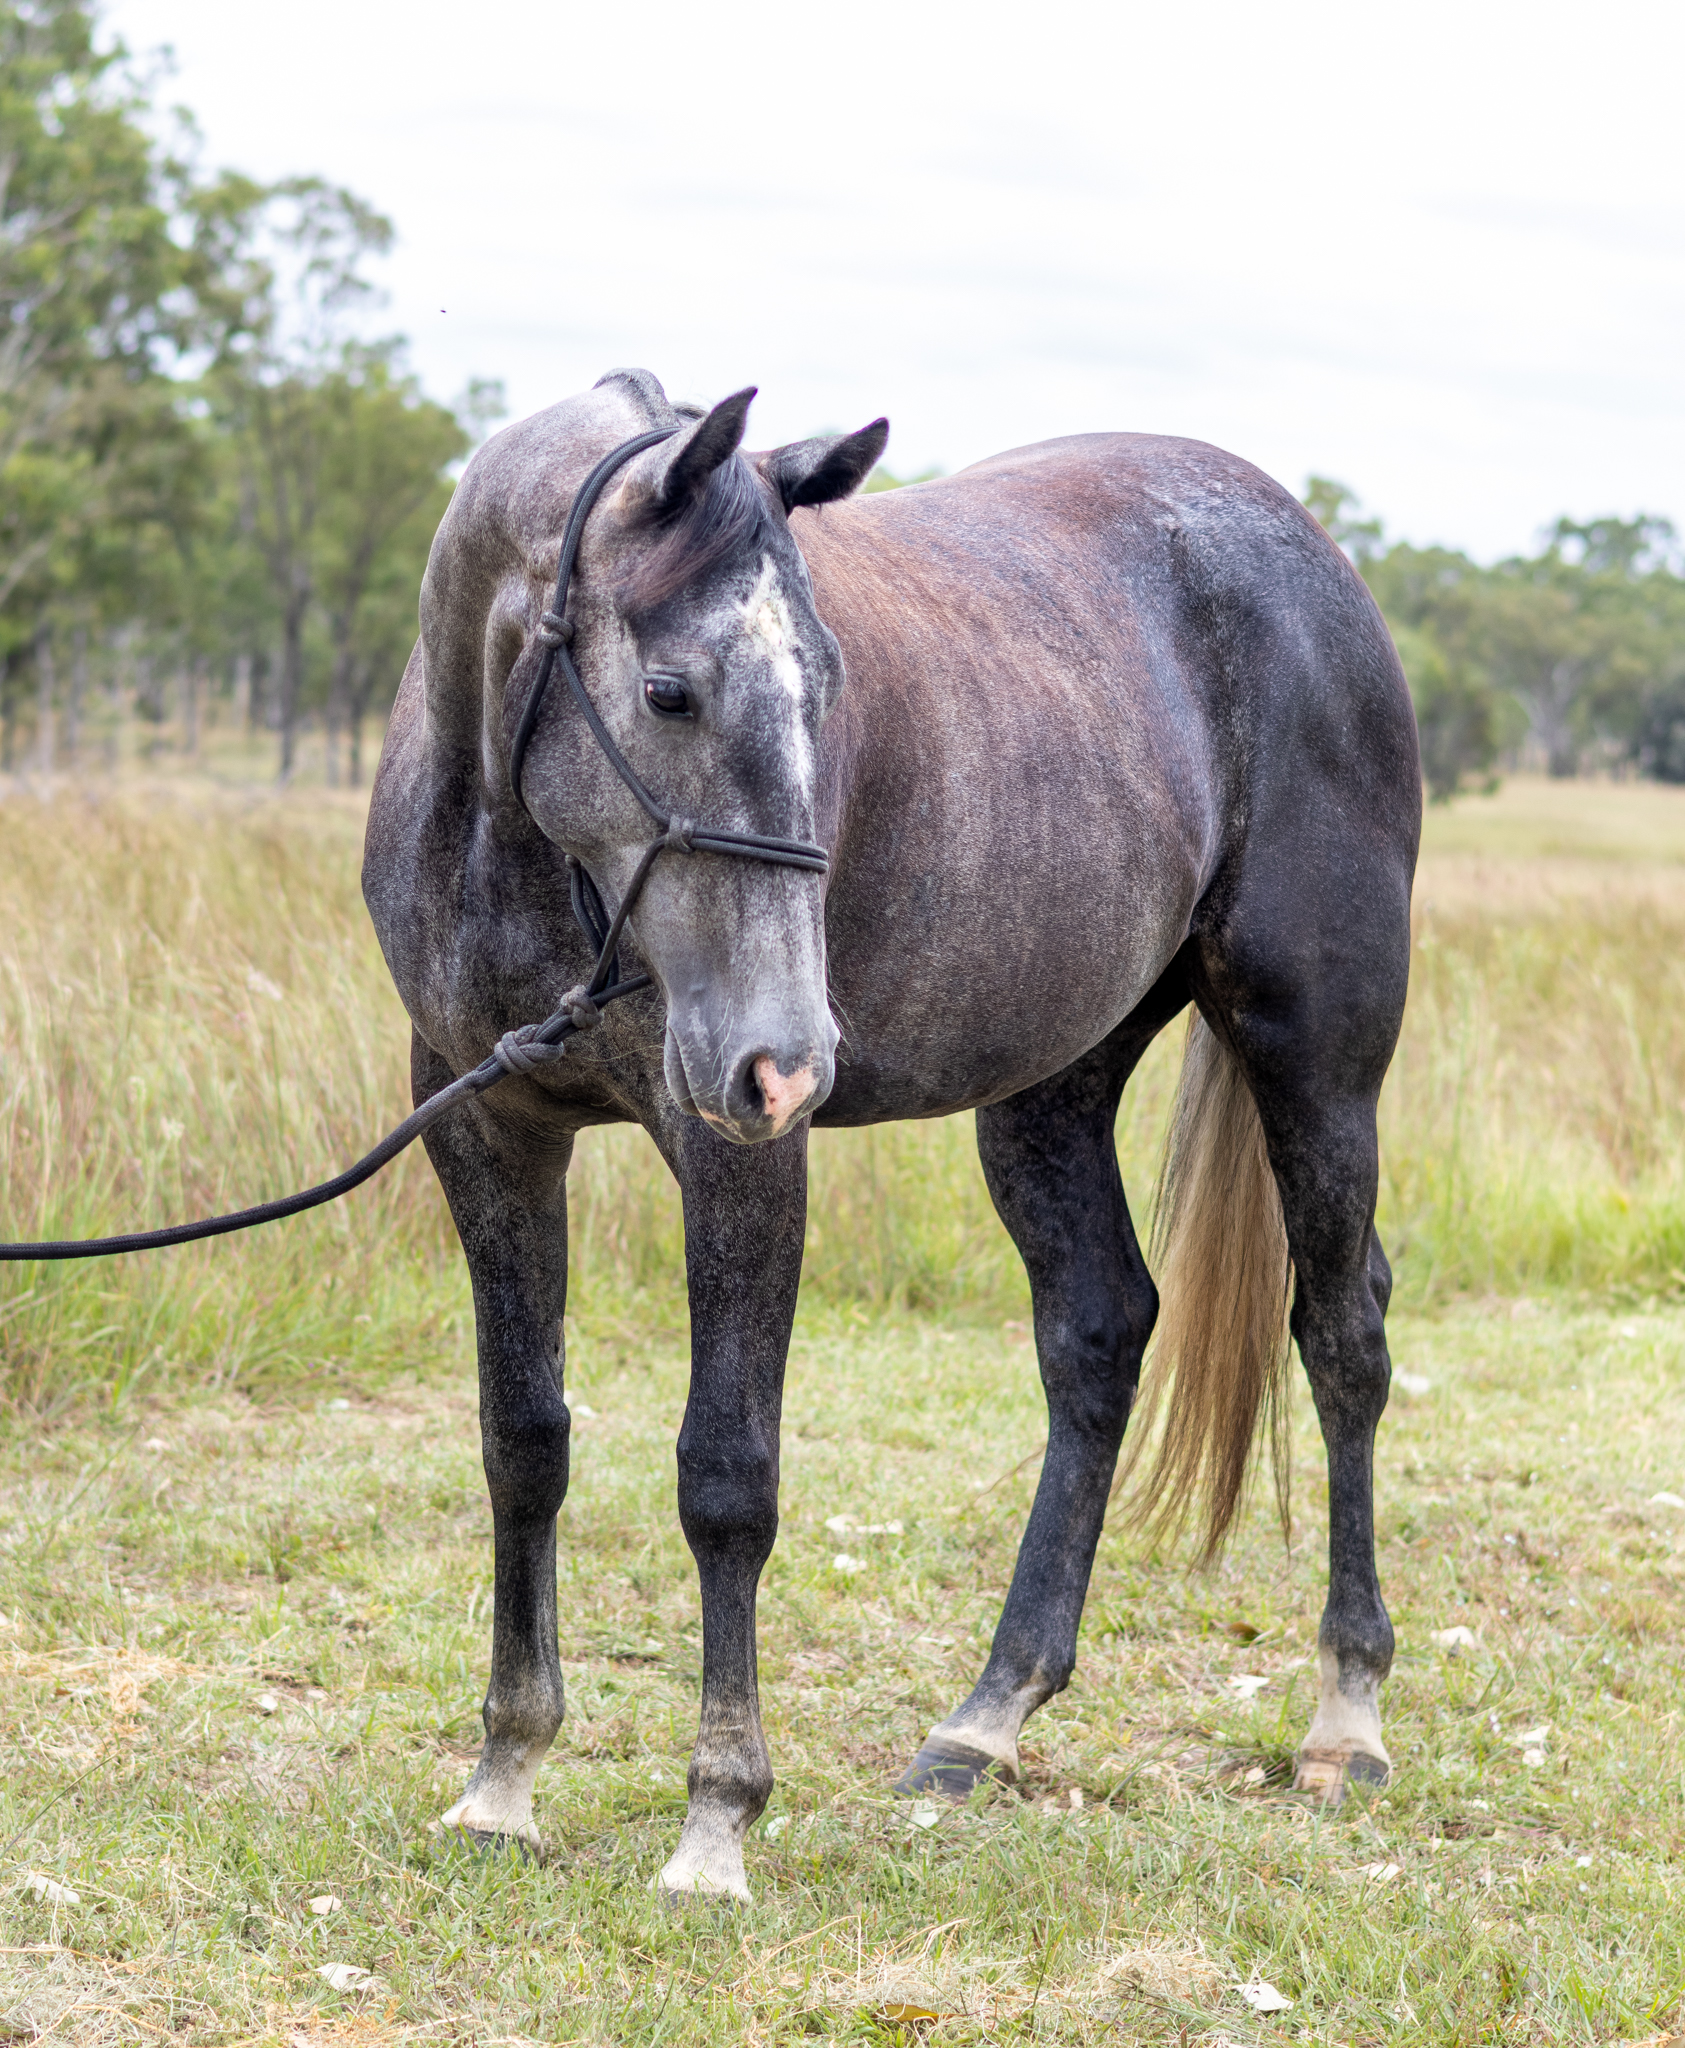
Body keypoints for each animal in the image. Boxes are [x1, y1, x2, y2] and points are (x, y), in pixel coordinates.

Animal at [362, 366, 1420, 1902]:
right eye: (669, 690)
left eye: (829, 683)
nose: (790, 1058)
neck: (516, 842)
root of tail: (1309, 550)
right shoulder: (485, 1126)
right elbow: (524, 1442)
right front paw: (504, 1776)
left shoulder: (736, 1153)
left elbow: (725, 1476)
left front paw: (715, 1820)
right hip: (1050, 1085)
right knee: (1097, 1330)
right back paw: (988, 1718)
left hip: (1314, 1057)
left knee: (1342, 1337)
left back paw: (1345, 1714)